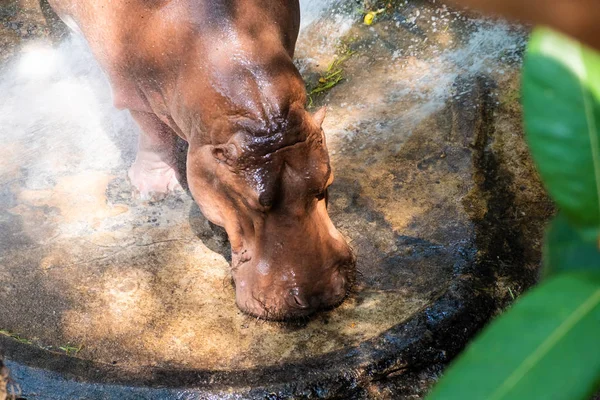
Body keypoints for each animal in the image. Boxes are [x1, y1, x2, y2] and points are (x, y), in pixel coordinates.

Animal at [47, 0, 356, 318]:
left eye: (325, 183)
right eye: (251, 203)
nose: (317, 295)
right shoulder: (131, 89)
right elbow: (152, 130)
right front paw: (152, 191)